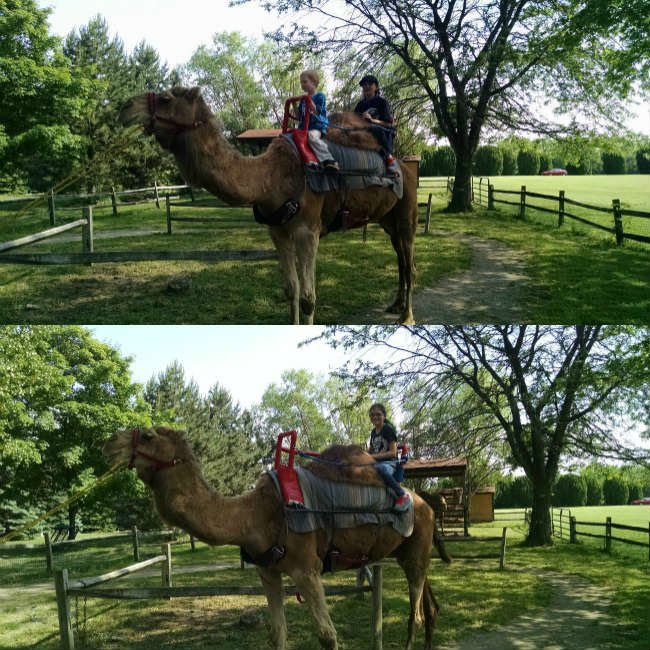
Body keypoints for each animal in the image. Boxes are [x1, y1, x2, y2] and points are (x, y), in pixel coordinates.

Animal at [103, 427, 451, 650]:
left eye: (148, 435)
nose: (109, 445)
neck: (254, 514)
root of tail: (424, 503)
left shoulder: (306, 569)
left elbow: (327, 636)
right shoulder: (268, 571)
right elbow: (277, 634)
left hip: (415, 547)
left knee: (416, 615)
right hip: (410, 553)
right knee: (429, 606)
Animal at [119, 87, 418, 324]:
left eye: (166, 98)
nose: (125, 108)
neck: (272, 177)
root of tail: (405, 165)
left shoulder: (308, 231)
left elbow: (308, 297)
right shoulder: (278, 231)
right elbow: (291, 291)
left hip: (406, 212)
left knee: (409, 263)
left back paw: (407, 316)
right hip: (387, 219)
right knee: (400, 258)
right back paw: (395, 305)